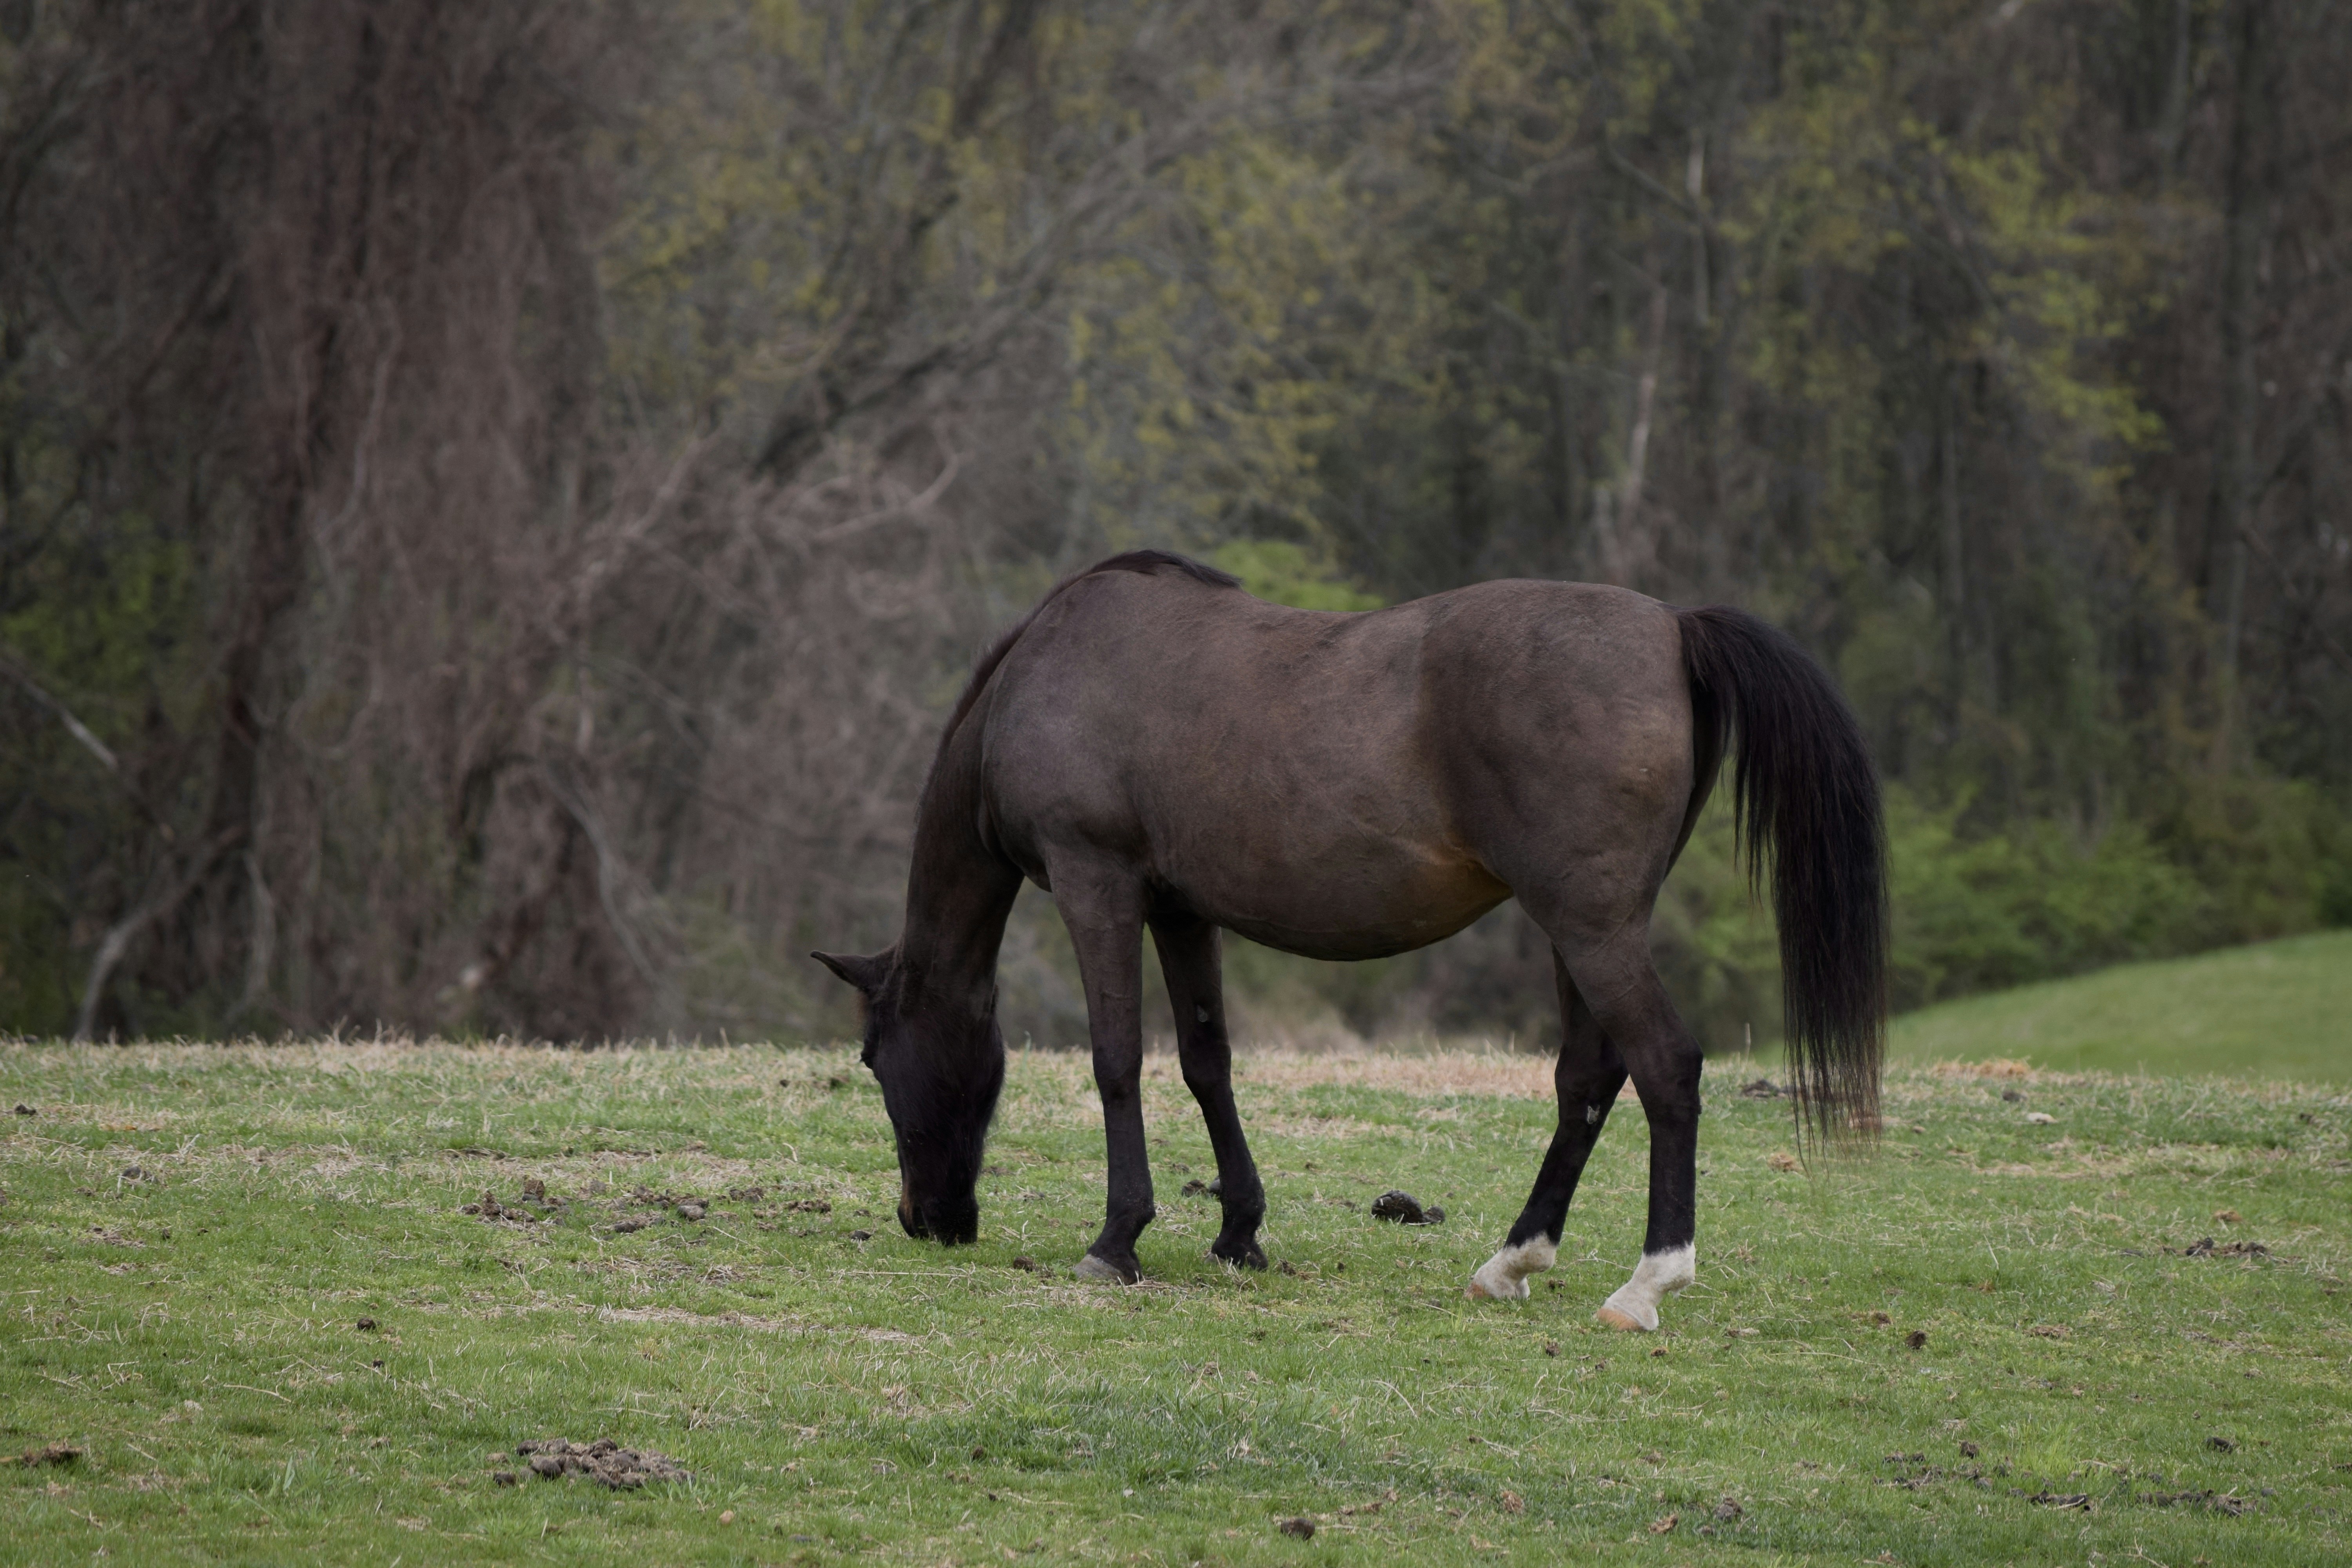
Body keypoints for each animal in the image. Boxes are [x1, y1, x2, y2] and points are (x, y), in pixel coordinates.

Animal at [818, 550, 1882, 1326]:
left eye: (875, 1058)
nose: (927, 1219)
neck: (1047, 672)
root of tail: (1671, 625)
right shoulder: (1180, 908)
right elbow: (1206, 1060)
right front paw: (1238, 1232)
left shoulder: (1099, 885)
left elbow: (1118, 1059)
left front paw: (1117, 1240)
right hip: (1580, 931)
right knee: (1587, 1077)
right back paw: (1513, 1259)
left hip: (1592, 929)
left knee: (1665, 1068)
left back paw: (1647, 1281)